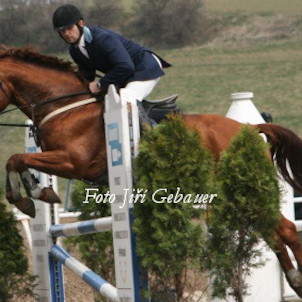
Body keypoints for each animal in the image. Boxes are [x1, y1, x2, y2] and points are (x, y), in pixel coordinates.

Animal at [0, 47, 302, 298]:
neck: (63, 106)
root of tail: (249, 129)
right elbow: (19, 161)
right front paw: (37, 193)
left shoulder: (72, 162)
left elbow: (16, 159)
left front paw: (28, 196)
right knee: (273, 232)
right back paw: (294, 278)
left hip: (244, 190)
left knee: (285, 229)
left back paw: (297, 279)